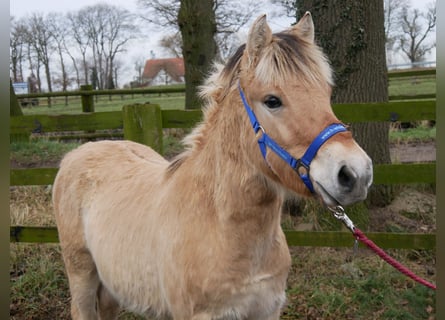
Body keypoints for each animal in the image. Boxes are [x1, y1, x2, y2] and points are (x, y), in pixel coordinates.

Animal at [53, 12, 372, 320]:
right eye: (272, 100)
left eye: (326, 93)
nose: (356, 173)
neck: (219, 225)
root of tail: (79, 152)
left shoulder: (266, 311)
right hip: (81, 276)